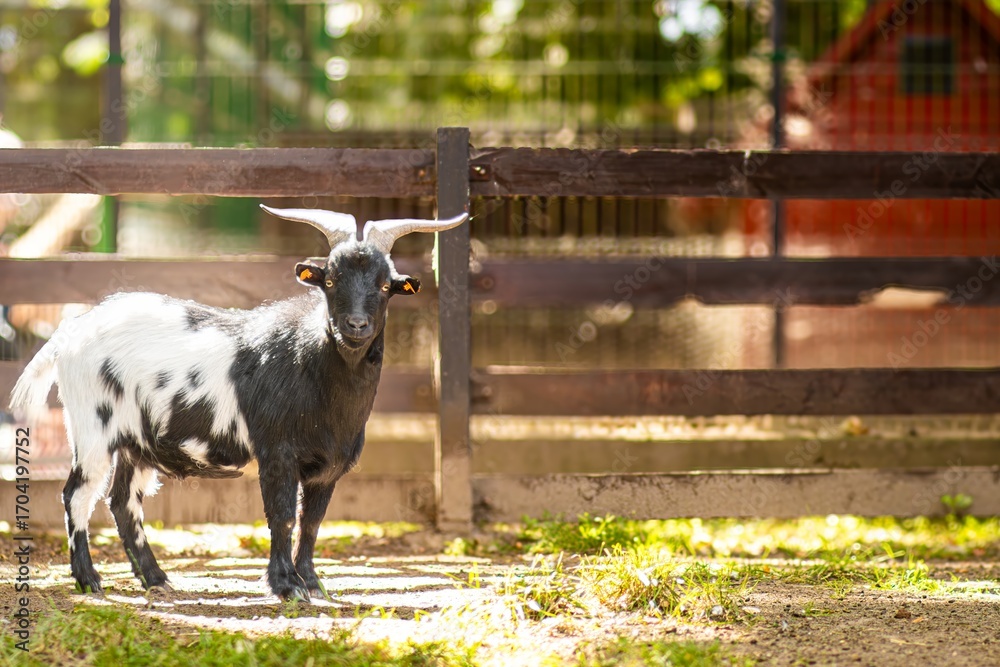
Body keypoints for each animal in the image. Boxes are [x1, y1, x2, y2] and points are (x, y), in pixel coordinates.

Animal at [9, 205, 467, 601]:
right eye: (330, 280)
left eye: (386, 285)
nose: (355, 326)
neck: (310, 366)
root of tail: (70, 332)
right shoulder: (277, 452)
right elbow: (282, 516)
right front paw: (286, 586)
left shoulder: (328, 467)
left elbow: (313, 522)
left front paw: (313, 583)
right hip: (92, 429)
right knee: (76, 495)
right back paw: (89, 581)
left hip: (137, 442)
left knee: (123, 502)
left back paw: (156, 579)